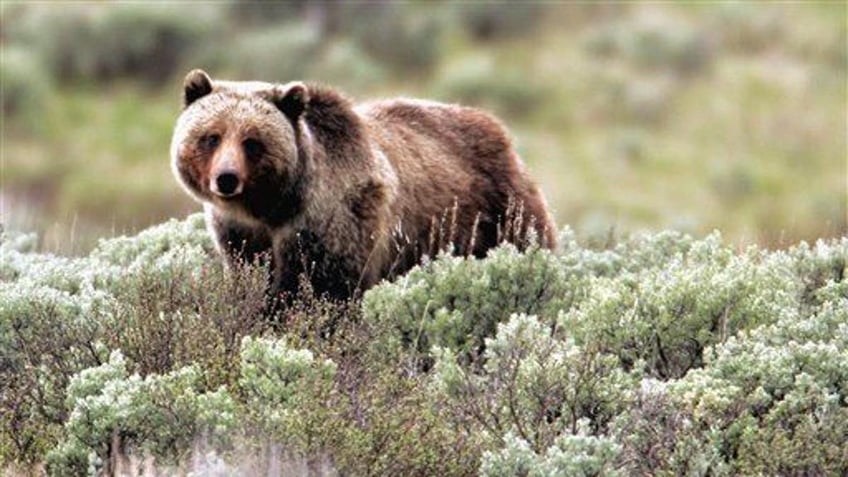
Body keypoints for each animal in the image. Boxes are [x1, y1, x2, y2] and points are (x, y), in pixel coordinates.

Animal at [171, 69, 556, 300]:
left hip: (498, 211)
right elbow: (252, 274)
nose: (226, 178)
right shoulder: (240, 233)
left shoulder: (333, 218)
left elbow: (323, 286)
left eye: (252, 141)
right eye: (212, 136)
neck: (273, 206)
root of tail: (499, 129)